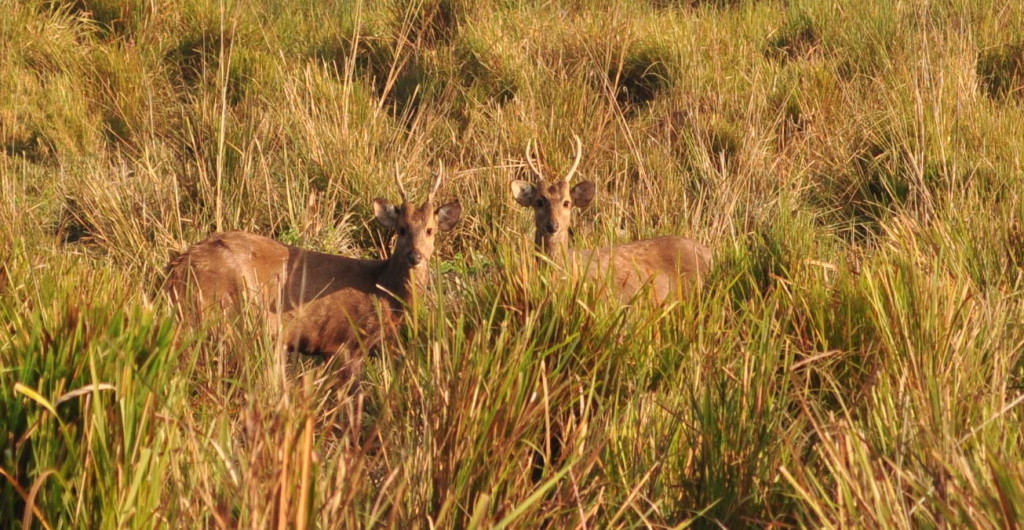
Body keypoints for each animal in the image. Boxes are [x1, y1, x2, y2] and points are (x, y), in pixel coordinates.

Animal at [165, 169, 462, 358]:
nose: (415, 256)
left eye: (430, 230)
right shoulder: (346, 338)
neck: (384, 290)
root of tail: (176, 271)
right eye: (401, 230)